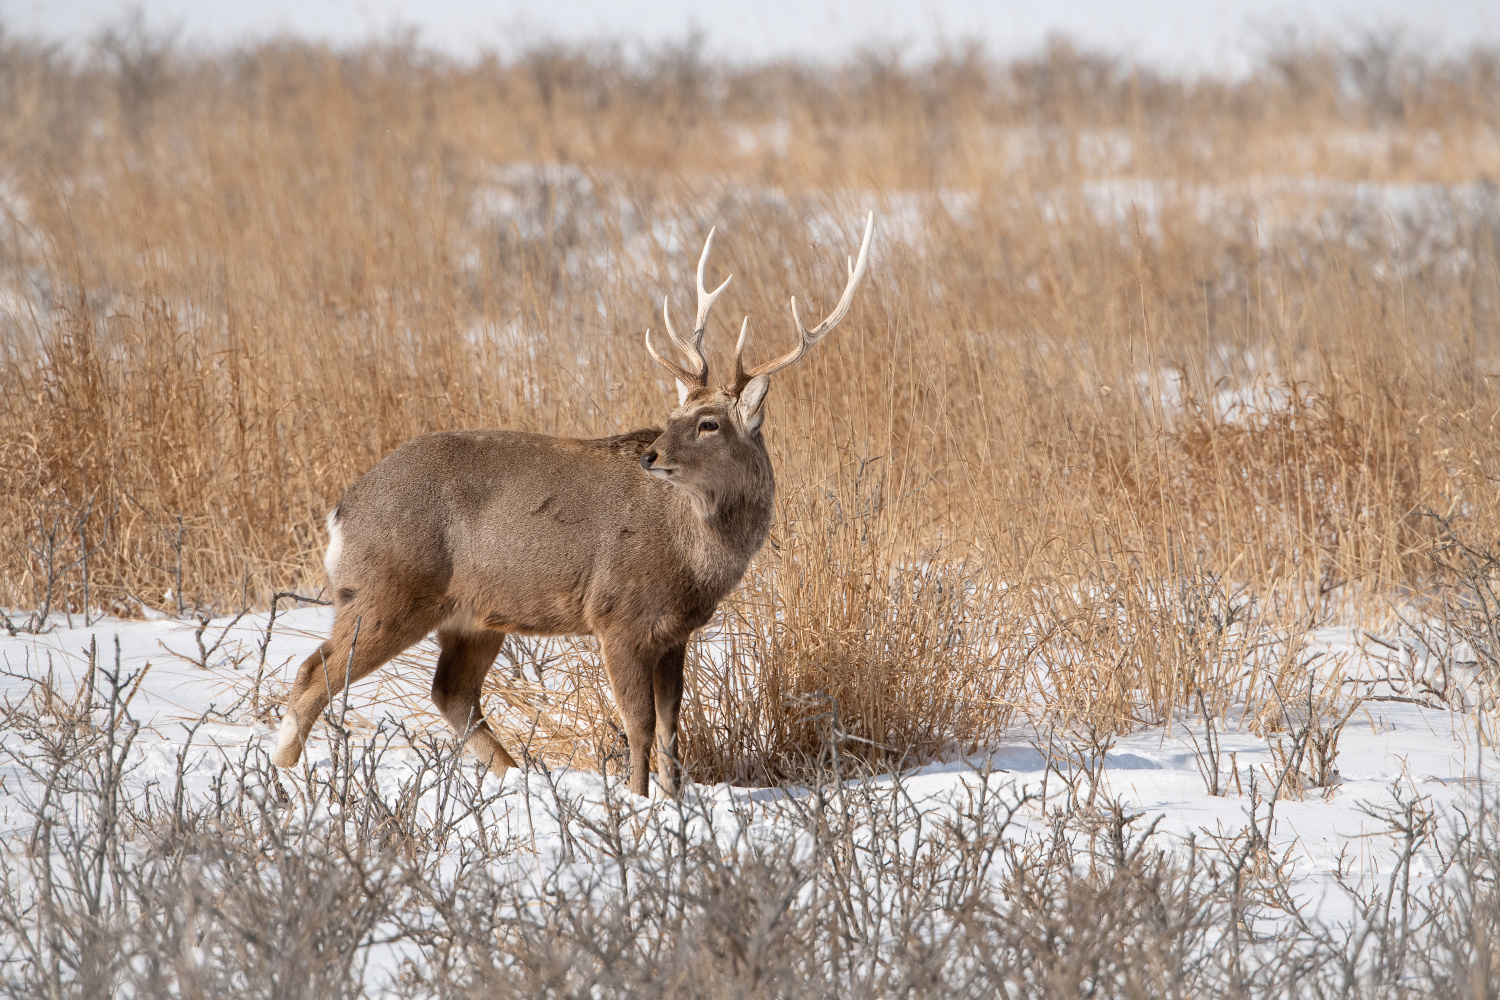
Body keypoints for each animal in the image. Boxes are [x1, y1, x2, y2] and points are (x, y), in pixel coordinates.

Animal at [276, 212, 876, 797]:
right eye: (674, 415)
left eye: (708, 423)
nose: (652, 454)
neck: (695, 557)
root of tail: (341, 513)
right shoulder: (618, 615)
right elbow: (640, 723)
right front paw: (639, 801)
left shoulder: (675, 631)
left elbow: (672, 725)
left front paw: (675, 799)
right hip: (387, 589)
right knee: (314, 674)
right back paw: (284, 777)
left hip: (471, 614)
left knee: (451, 693)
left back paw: (516, 777)